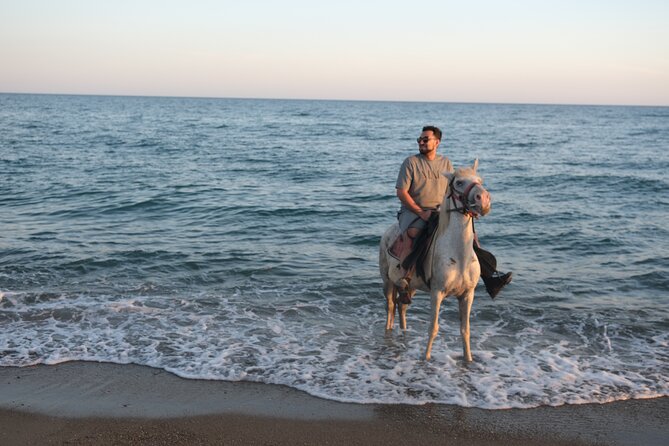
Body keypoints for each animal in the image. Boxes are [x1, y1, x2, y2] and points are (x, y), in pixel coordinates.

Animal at [378, 160, 491, 362]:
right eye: (459, 182)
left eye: (479, 180)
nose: (484, 199)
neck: (459, 256)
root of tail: (388, 232)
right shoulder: (437, 292)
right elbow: (433, 328)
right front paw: (426, 359)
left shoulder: (467, 295)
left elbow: (465, 330)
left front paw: (468, 360)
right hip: (387, 281)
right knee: (390, 306)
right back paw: (388, 333)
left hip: (411, 286)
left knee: (401, 306)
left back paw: (404, 332)